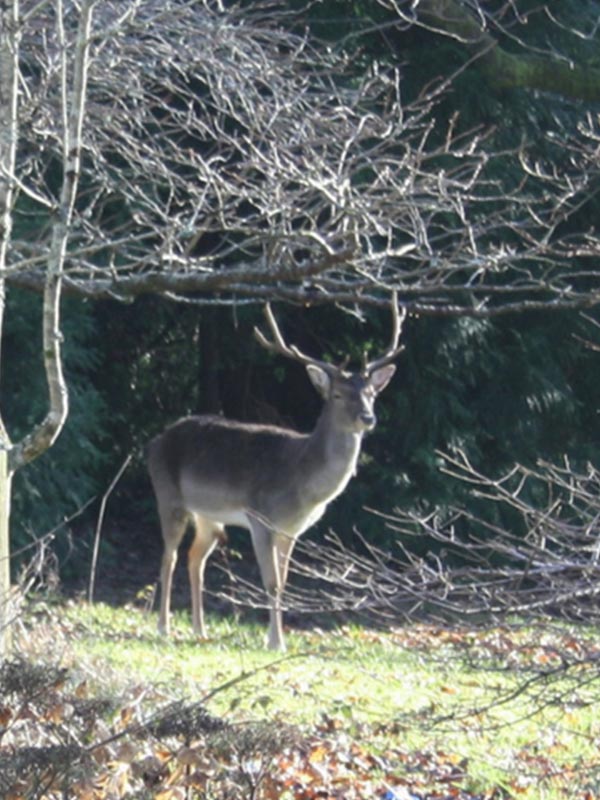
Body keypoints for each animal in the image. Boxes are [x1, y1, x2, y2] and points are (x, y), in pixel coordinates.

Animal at [148, 296, 406, 648]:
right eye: (338, 394)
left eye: (371, 394)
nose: (368, 418)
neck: (301, 484)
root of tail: (154, 442)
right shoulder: (259, 518)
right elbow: (271, 582)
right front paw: (275, 642)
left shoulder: (292, 530)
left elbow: (283, 582)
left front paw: (278, 638)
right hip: (168, 496)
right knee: (169, 557)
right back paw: (163, 627)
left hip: (209, 516)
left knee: (195, 558)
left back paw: (199, 629)